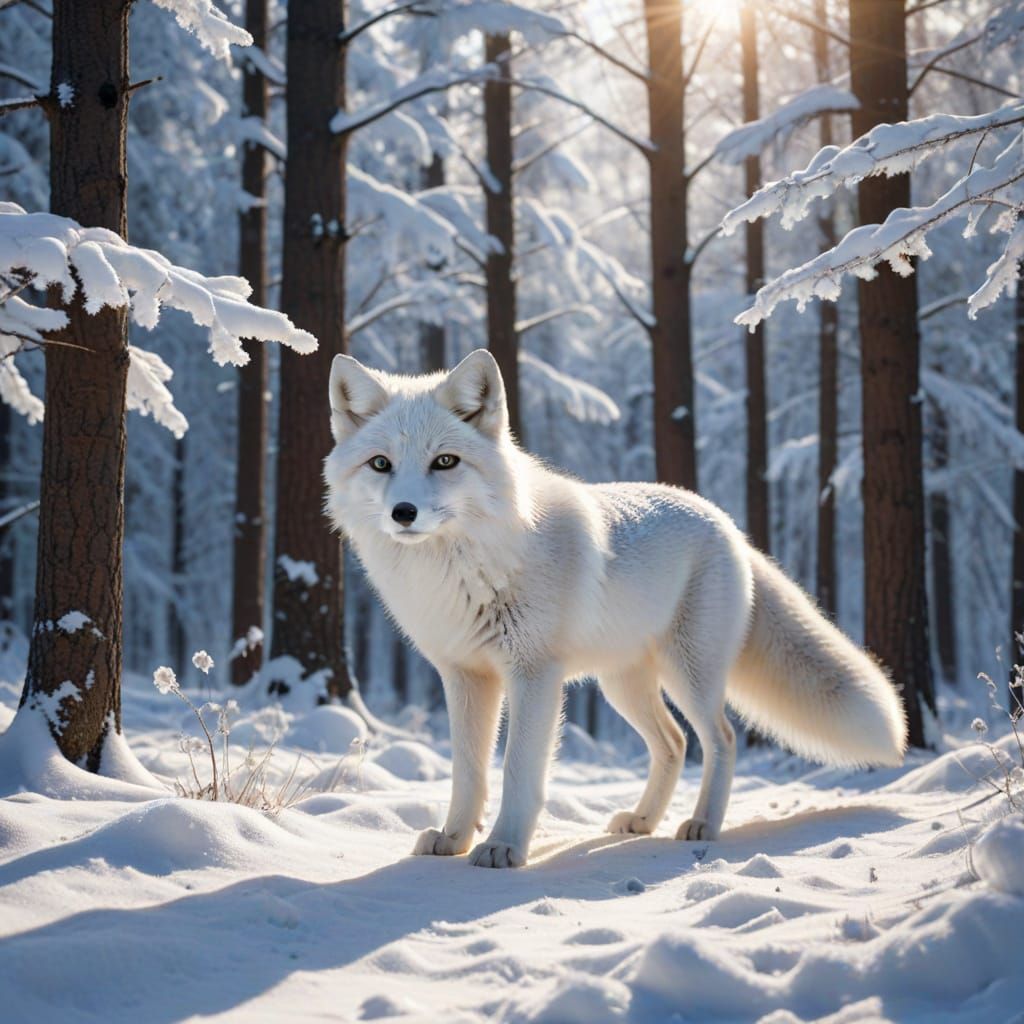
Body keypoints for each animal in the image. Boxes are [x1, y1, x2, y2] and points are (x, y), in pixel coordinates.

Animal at [323, 348, 907, 869]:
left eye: (444, 461)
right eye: (381, 464)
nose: (403, 513)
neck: (467, 569)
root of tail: (728, 525)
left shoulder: (533, 675)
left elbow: (518, 770)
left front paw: (505, 847)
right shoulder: (465, 676)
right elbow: (468, 771)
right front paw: (453, 839)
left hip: (688, 677)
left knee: (720, 739)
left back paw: (703, 824)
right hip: (622, 686)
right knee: (673, 743)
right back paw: (643, 821)